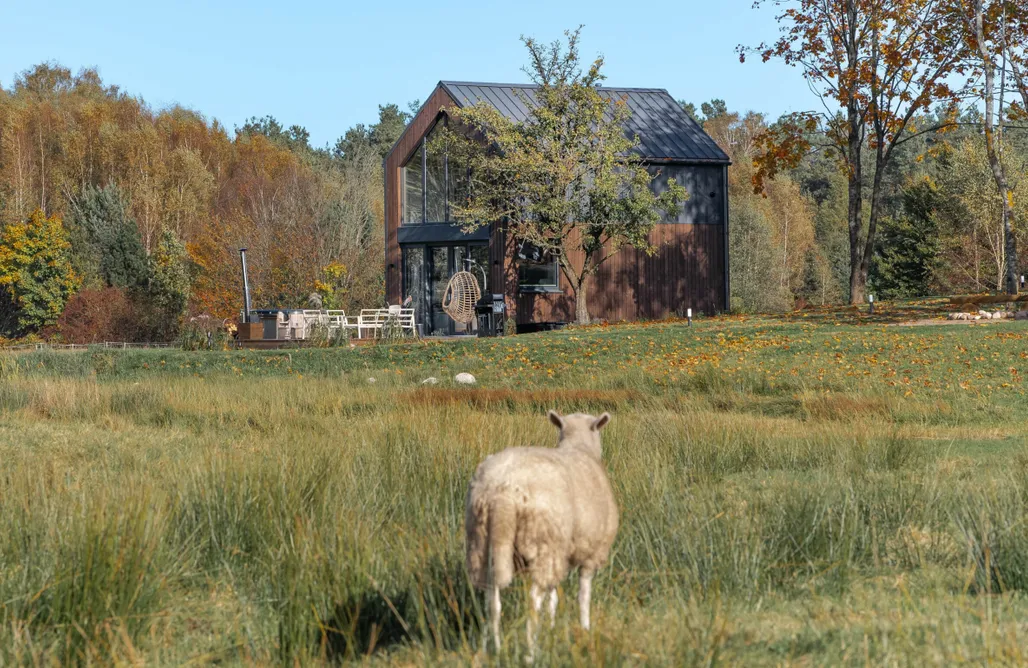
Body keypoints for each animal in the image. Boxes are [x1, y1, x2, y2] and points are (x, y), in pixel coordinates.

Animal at [464, 409, 616, 657]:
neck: (579, 447)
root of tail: (501, 492)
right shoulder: (591, 553)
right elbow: (583, 596)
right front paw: (585, 629)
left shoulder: (559, 556)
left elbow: (552, 599)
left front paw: (552, 628)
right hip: (543, 542)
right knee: (533, 601)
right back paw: (531, 652)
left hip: (481, 542)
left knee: (491, 599)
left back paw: (493, 648)